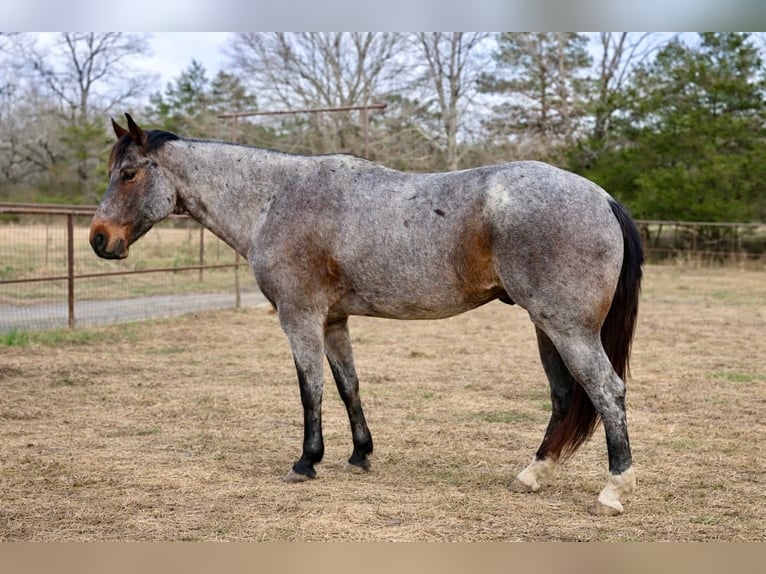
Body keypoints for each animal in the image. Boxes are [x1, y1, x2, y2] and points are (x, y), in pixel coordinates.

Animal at [90, 114, 643, 516]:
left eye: (129, 174)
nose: (99, 239)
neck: (275, 199)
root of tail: (602, 197)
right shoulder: (334, 320)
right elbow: (347, 384)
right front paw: (360, 455)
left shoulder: (299, 316)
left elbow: (310, 388)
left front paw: (306, 461)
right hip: (546, 327)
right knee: (565, 395)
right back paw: (533, 475)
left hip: (567, 329)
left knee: (606, 391)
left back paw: (614, 491)